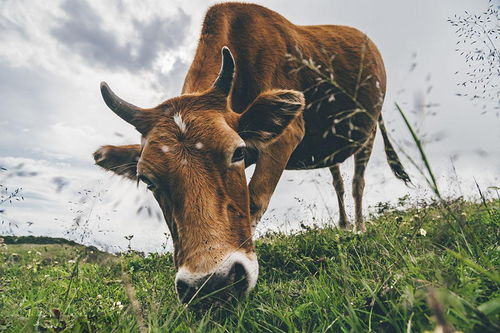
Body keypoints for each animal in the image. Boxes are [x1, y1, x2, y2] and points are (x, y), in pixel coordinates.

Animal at [94, 1, 410, 304]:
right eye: (147, 180)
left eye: (238, 152)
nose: (211, 285)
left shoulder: (286, 136)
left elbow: (254, 198)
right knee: (339, 182)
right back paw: (344, 227)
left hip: (369, 130)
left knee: (357, 183)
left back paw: (358, 228)